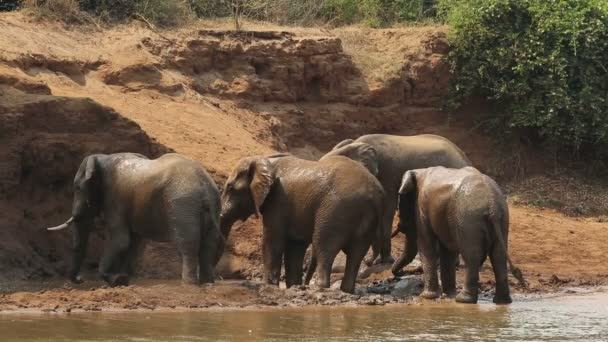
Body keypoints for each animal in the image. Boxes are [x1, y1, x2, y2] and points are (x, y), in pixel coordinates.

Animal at [45, 152, 224, 286]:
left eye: (77, 188)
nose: (80, 280)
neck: (103, 158)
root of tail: (205, 188)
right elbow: (134, 243)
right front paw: (124, 280)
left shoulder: (115, 198)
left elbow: (121, 240)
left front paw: (117, 279)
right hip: (212, 207)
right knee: (208, 246)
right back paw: (208, 283)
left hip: (183, 205)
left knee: (187, 246)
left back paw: (189, 285)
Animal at [220, 154, 384, 292]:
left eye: (230, 188)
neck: (265, 160)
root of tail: (374, 194)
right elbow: (295, 245)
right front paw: (293, 286)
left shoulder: (278, 201)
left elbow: (273, 240)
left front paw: (268, 285)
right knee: (356, 254)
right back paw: (346, 290)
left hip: (336, 209)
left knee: (324, 245)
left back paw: (320, 287)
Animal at [324, 134, 470, 264]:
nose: (368, 262)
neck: (355, 144)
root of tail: (463, 155)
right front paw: (376, 260)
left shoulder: (387, 173)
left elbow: (388, 205)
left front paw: (383, 260)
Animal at [392, 167, 524, 304]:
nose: (400, 273)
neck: (419, 171)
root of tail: (492, 207)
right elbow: (448, 251)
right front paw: (449, 294)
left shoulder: (421, 208)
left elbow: (427, 246)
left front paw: (427, 296)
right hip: (502, 218)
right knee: (498, 256)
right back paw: (502, 301)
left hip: (468, 219)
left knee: (472, 256)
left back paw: (463, 299)